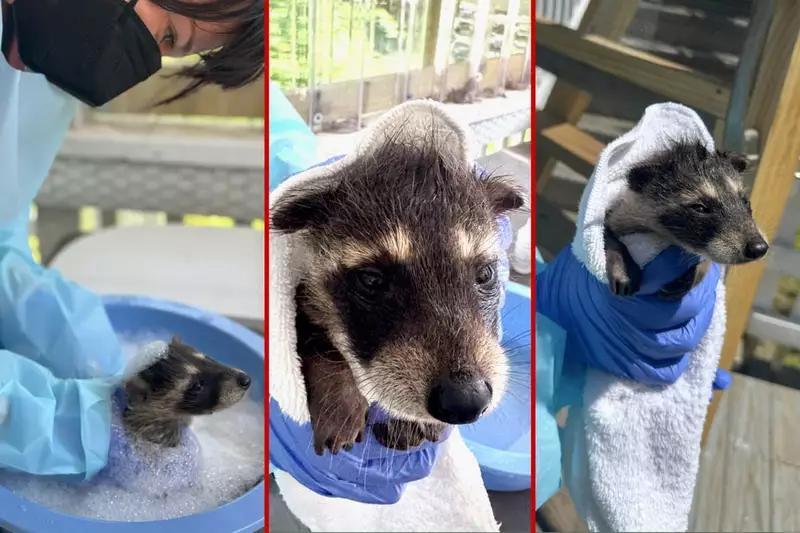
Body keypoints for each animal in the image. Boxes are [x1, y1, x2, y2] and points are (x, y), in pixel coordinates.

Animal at [604, 141, 769, 298]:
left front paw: (699, 269)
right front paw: (621, 261)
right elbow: (607, 232)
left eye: (744, 201)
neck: (667, 237)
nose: (759, 248)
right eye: (700, 208)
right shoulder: (620, 213)